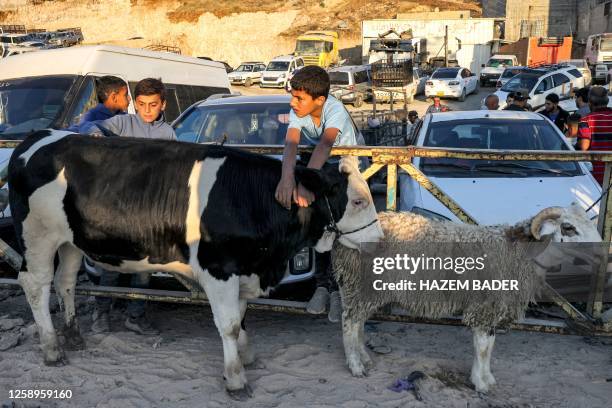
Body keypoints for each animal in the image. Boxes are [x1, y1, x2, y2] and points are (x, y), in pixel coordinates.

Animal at [8, 130, 382, 398]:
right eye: (357, 200)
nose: (379, 240)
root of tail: (37, 137)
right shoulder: (219, 269)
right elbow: (229, 325)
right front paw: (236, 379)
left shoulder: (242, 269)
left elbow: (241, 319)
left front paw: (245, 356)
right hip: (38, 237)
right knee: (36, 285)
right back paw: (52, 349)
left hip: (71, 241)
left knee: (65, 282)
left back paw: (73, 336)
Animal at [332, 204, 600, 392]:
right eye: (568, 227)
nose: (601, 252)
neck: (519, 252)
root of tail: (341, 234)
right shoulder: (485, 306)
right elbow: (482, 347)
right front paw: (480, 384)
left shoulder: (492, 308)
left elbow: (489, 346)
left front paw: (486, 379)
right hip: (362, 285)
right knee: (349, 323)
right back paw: (356, 366)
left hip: (360, 288)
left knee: (358, 322)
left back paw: (364, 357)